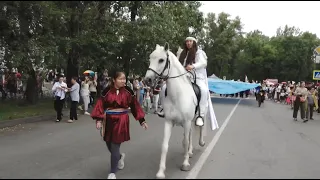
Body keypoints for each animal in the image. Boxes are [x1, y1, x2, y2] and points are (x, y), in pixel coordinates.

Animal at [144, 43, 205, 179]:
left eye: (161, 60)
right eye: (150, 58)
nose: (147, 80)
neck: (177, 96)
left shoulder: (187, 122)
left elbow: (186, 141)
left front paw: (185, 164)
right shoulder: (169, 122)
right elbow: (165, 145)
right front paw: (161, 172)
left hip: (197, 116)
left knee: (198, 129)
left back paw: (198, 144)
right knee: (190, 134)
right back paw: (190, 152)